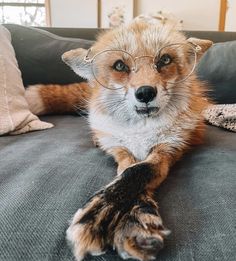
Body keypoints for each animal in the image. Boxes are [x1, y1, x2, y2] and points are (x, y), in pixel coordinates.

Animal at [25, 19, 212, 258]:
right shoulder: (119, 148)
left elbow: (139, 171)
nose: (145, 93)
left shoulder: (170, 147)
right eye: (120, 66)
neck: (142, 131)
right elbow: (126, 171)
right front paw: (123, 213)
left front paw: (120, 215)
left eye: (165, 60)